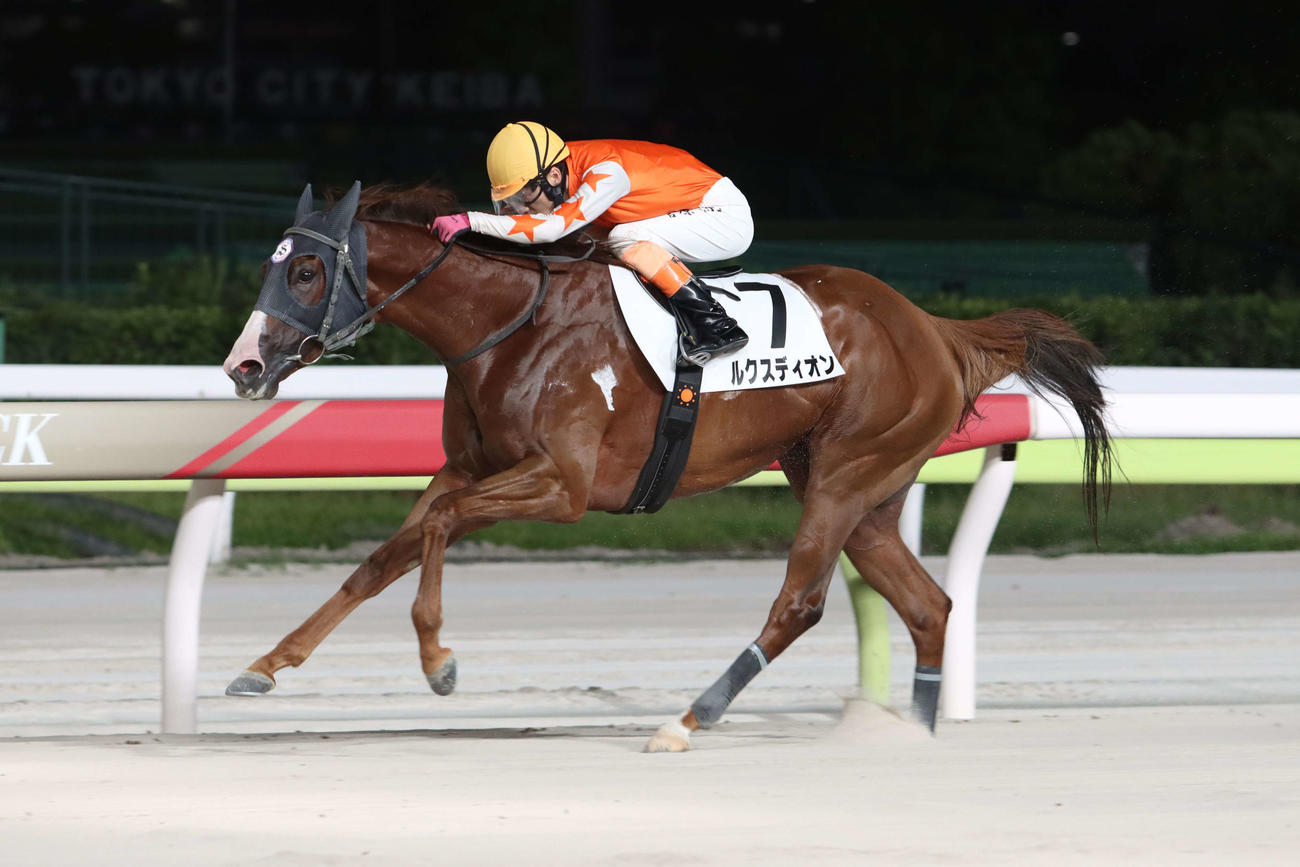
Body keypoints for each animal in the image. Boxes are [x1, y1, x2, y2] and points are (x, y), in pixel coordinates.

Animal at [222, 181, 1112, 751]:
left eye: (305, 270)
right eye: (271, 265)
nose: (243, 366)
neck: (510, 324)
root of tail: (934, 327)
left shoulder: (563, 485)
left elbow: (437, 527)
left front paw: (439, 662)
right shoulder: (467, 466)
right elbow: (380, 558)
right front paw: (264, 666)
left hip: (846, 475)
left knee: (800, 602)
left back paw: (688, 719)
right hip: (867, 493)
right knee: (929, 605)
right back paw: (913, 734)